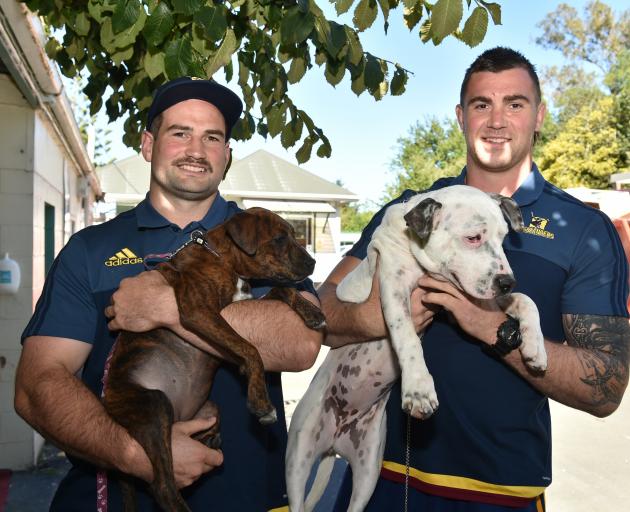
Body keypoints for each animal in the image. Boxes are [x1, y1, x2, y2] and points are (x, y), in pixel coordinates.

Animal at [286, 185, 548, 512]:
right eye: (473, 237)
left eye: (502, 238)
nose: (507, 282)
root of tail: (334, 440)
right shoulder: (394, 291)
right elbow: (407, 338)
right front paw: (419, 390)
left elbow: (528, 301)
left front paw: (535, 349)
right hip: (298, 459)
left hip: (368, 471)